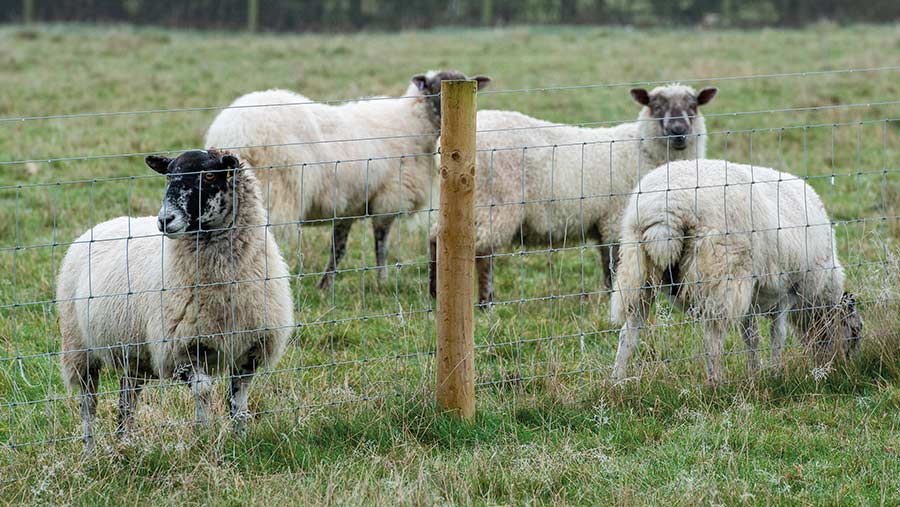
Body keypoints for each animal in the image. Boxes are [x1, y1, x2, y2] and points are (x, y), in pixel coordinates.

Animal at [57, 149, 296, 450]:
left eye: (210, 175)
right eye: (169, 176)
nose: (165, 220)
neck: (224, 288)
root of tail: (106, 223)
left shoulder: (251, 348)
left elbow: (238, 401)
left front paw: (241, 439)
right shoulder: (180, 349)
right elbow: (203, 390)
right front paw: (203, 436)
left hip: (133, 351)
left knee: (127, 399)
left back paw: (125, 443)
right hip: (79, 347)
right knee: (88, 403)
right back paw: (90, 450)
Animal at [205, 70, 492, 290]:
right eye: (432, 89)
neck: (412, 125)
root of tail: (232, 130)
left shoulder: (348, 206)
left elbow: (339, 249)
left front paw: (325, 286)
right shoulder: (388, 198)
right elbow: (381, 247)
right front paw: (382, 282)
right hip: (276, 191)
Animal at [428, 84, 716, 306]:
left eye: (693, 106)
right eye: (656, 106)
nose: (678, 130)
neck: (641, 149)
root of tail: (444, 147)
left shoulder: (608, 220)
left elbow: (609, 259)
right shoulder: (615, 217)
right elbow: (614, 260)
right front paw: (613, 295)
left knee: (436, 237)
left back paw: (434, 293)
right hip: (495, 204)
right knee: (482, 252)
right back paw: (485, 302)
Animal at [608, 161, 860, 382]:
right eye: (855, 330)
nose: (846, 366)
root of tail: (666, 207)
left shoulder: (753, 294)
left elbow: (751, 337)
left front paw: (755, 374)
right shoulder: (786, 291)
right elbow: (777, 336)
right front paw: (776, 373)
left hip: (637, 268)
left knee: (628, 331)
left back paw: (617, 381)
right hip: (720, 272)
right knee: (712, 338)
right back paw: (715, 382)